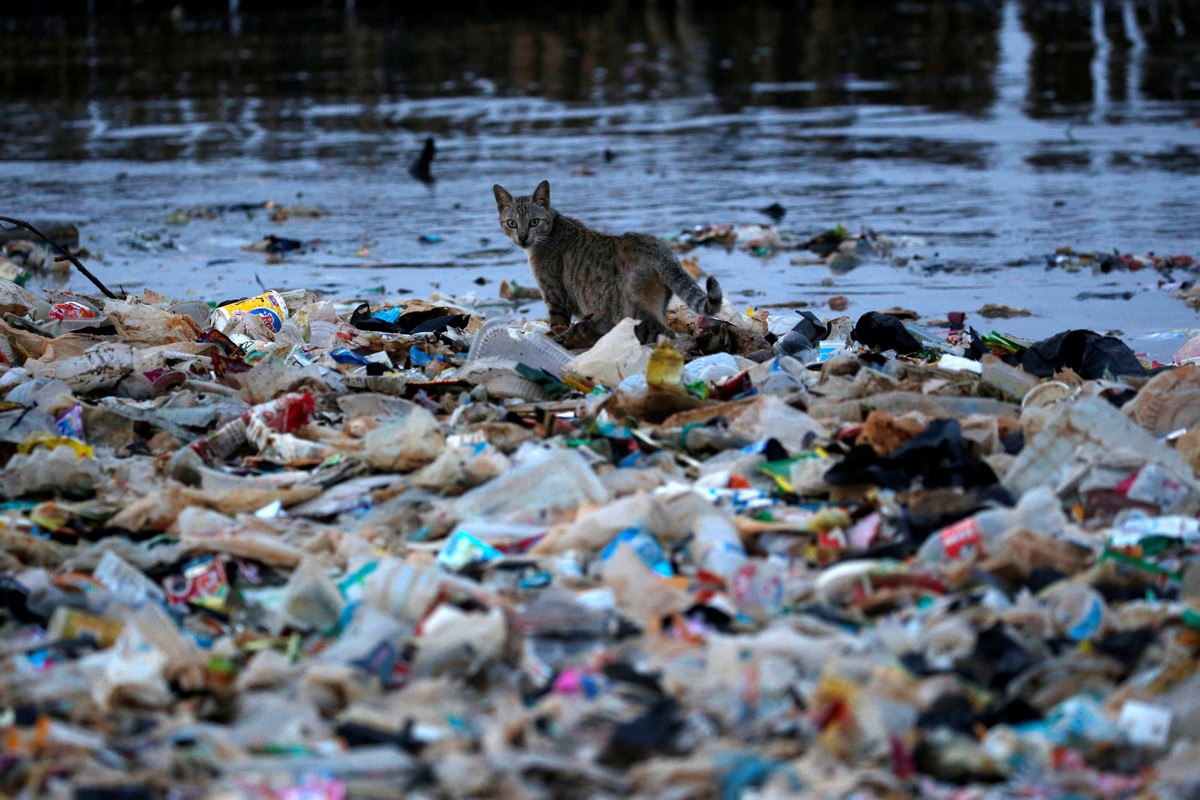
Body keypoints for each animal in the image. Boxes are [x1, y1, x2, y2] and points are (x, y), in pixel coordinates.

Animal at [489, 179, 720, 343]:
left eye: (534, 222)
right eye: (511, 223)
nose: (522, 238)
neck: (552, 228)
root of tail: (659, 248)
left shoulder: (554, 296)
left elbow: (557, 324)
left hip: (636, 309)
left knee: (664, 332)